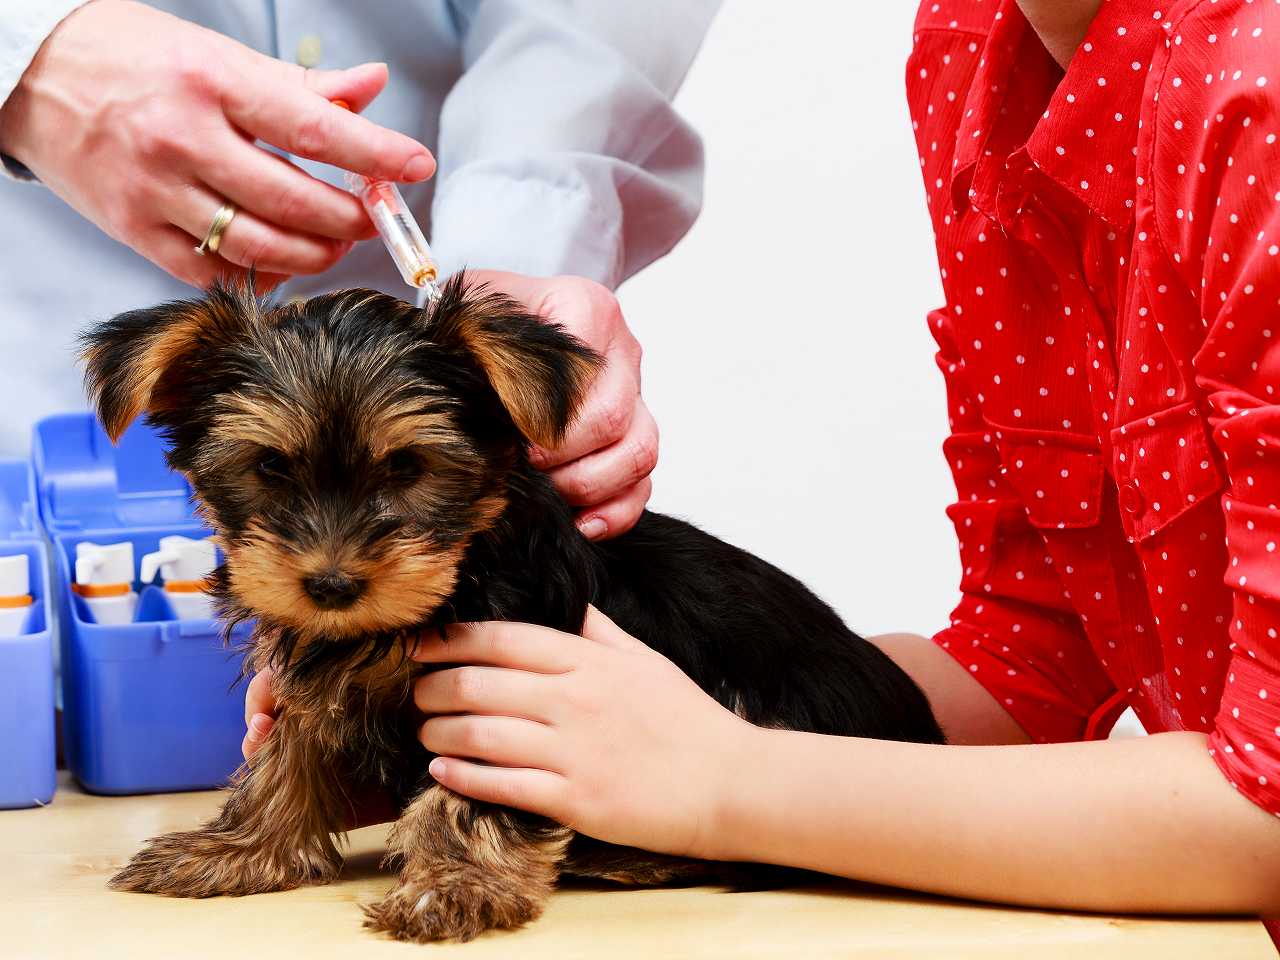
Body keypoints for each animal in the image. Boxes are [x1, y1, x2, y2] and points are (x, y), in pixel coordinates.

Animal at [82, 273, 942, 942]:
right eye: (268, 467)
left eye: (407, 467)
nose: (330, 584)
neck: (454, 576)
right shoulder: (321, 673)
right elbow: (284, 756)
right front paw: (235, 848)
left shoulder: (504, 690)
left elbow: (469, 792)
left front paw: (453, 885)